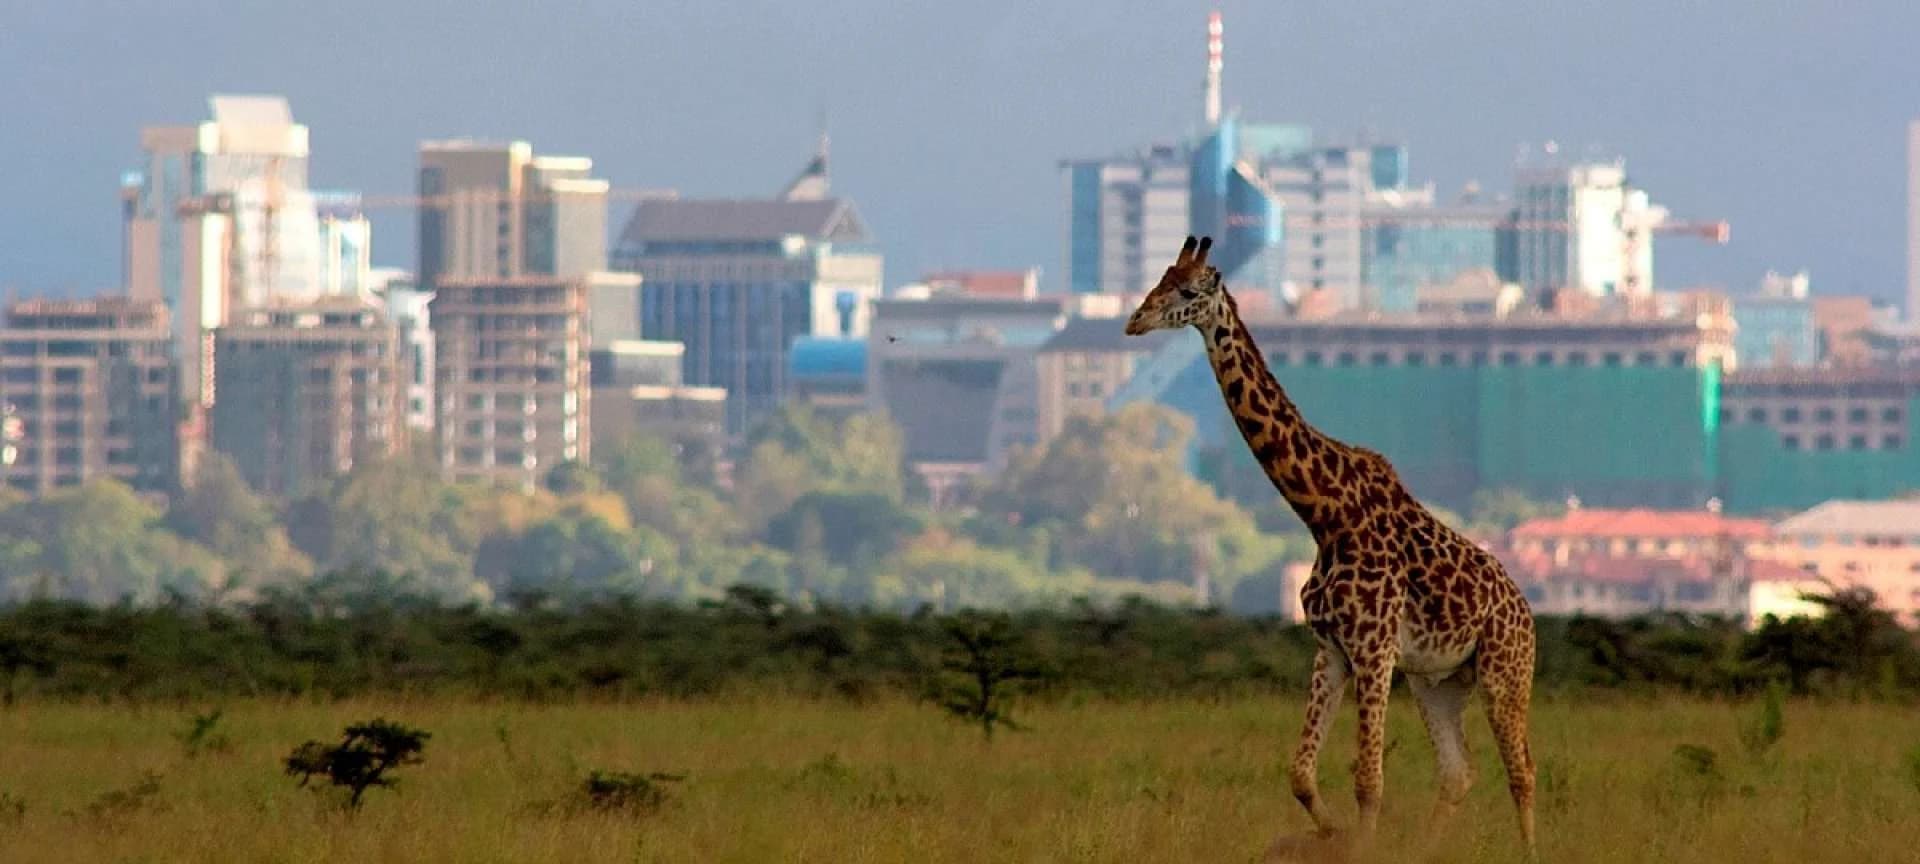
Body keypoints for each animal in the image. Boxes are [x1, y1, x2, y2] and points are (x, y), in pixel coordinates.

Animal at [1124, 236, 1538, 857]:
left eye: (1188, 290)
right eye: (1160, 278)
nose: (1135, 320)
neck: (1324, 515)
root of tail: (1527, 614)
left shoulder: (1373, 648)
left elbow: (1368, 778)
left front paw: (1357, 845)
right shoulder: (1332, 650)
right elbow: (1301, 773)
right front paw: (1333, 834)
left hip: (1504, 672)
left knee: (1522, 772)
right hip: (1437, 682)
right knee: (1458, 773)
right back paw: (1424, 849)